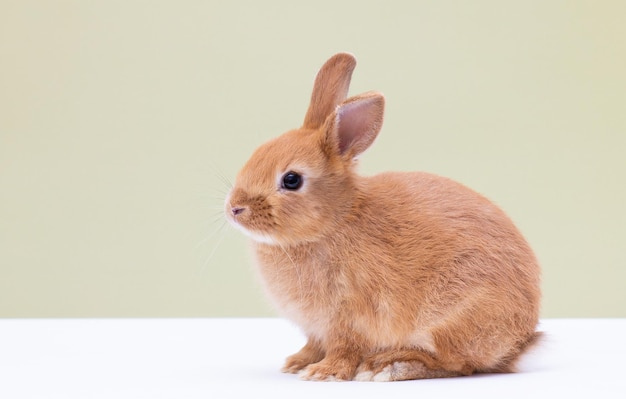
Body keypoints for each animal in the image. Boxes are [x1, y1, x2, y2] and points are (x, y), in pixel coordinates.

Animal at [224, 52, 540, 382]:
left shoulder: (349, 316)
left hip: (451, 318)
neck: (335, 221)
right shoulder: (317, 328)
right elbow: (313, 344)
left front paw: (324, 372)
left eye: (291, 180)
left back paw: (390, 365)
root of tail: (520, 339)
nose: (234, 208)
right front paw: (297, 363)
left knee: (457, 363)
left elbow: (344, 348)